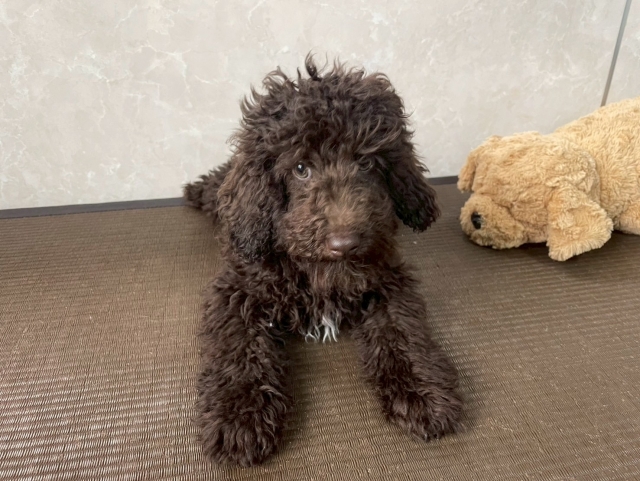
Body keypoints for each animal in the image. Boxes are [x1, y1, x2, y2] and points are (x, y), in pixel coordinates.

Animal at [184, 57, 462, 467]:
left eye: (366, 163)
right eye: (301, 168)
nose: (344, 244)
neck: (316, 274)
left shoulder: (387, 280)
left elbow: (402, 330)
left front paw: (421, 390)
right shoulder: (238, 289)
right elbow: (239, 346)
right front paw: (240, 414)